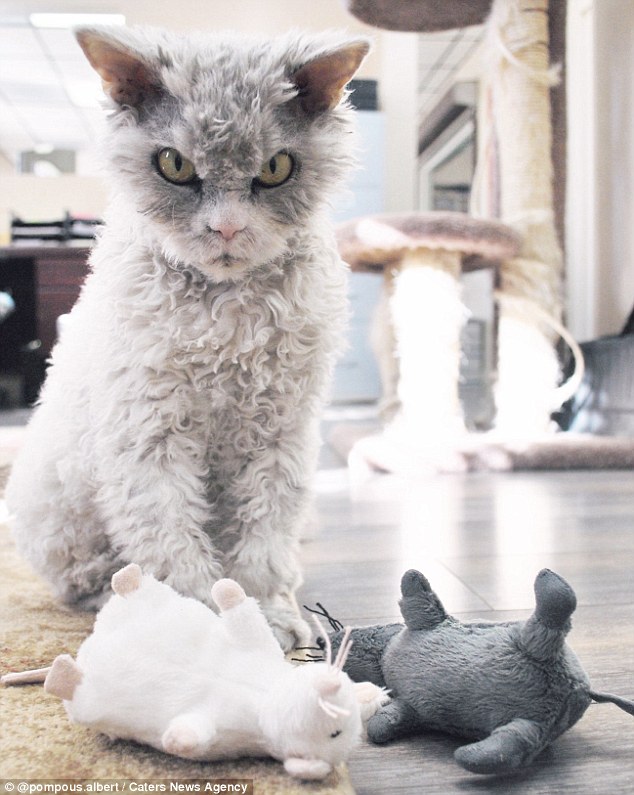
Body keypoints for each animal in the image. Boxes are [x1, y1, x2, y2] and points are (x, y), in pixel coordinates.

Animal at [4, 26, 368, 652]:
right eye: (174, 164)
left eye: (276, 167)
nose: (226, 228)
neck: (228, 318)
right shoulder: (149, 436)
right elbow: (172, 544)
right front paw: (207, 627)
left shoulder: (281, 436)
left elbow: (264, 542)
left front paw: (269, 620)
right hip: (62, 513)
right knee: (86, 579)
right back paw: (115, 599)